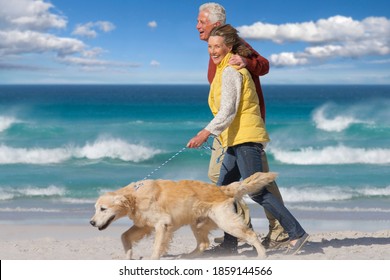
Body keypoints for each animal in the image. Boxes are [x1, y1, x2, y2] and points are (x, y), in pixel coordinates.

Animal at [90, 172, 276, 260]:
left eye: (103, 209)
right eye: (96, 208)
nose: (91, 222)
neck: (134, 197)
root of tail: (222, 189)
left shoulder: (162, 224)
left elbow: (157, 246)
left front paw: (153, 258)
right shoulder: (144, 225)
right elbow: (124, 236)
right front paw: (128, 255)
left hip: (225, 221)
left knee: (250, 234)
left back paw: (262, 254)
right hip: (198, 223)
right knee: (203, 243)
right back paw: (188, 256)